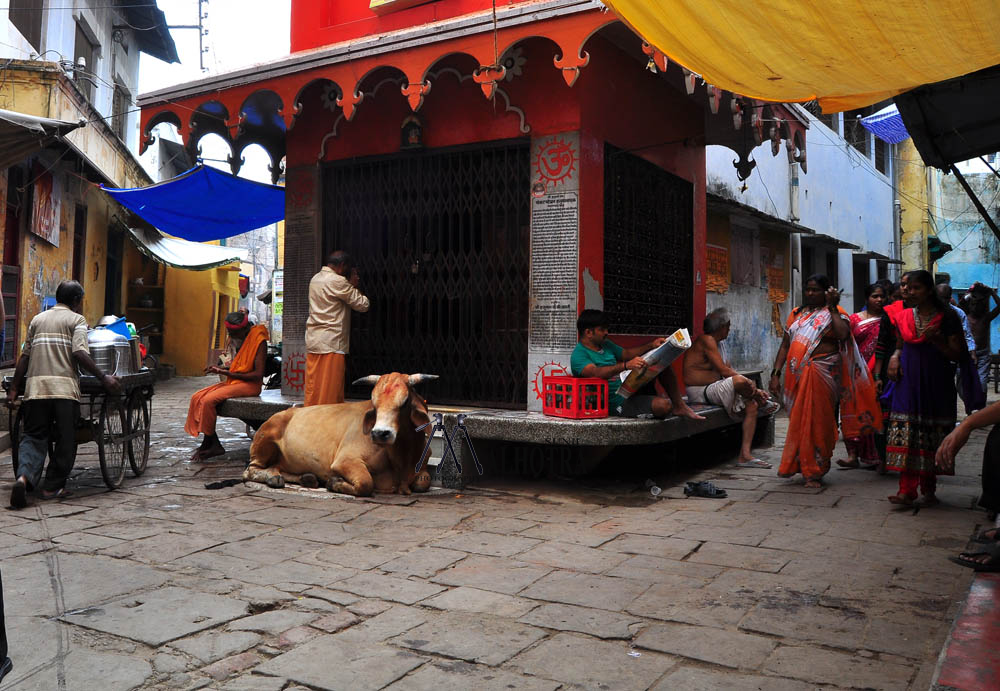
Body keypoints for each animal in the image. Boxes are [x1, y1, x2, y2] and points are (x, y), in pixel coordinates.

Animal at [243, 374, 438, 498]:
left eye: (404, 402)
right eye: (374, 404)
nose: (379, 433)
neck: (402, 456)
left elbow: (423, 483)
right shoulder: (345, 460)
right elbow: (366, 483)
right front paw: (334, 482)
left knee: (276, 467)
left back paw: (306, 478)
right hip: (265, 438)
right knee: (250, 470)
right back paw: (274, 478)